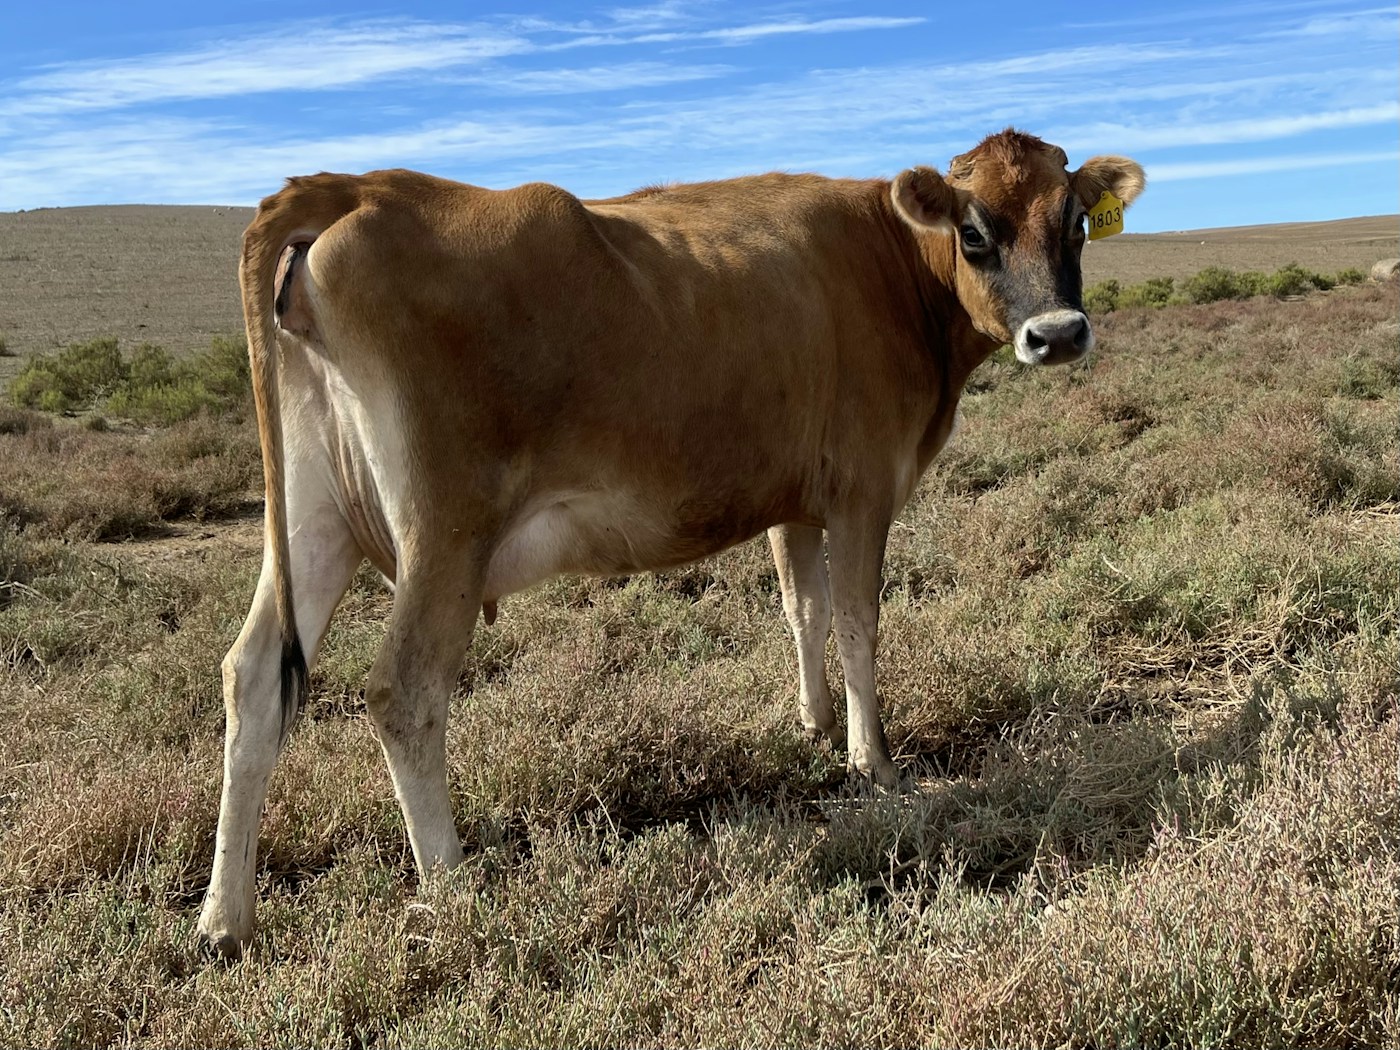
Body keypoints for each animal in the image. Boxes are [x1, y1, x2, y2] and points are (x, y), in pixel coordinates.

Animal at [196, 129, 1144, 956]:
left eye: (1075, 220)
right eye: (975, 230)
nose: (1059, 334)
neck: (890, 262)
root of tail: (361, 186)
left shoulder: (795, 498)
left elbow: (802, 610)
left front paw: (813, 723)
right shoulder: (863, 489)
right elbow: (856, 622)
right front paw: (873, 762)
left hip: (315, 520)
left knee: (253, 677)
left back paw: (223, 920)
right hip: (445, 533)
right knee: (402, 689)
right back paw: (456, 891)